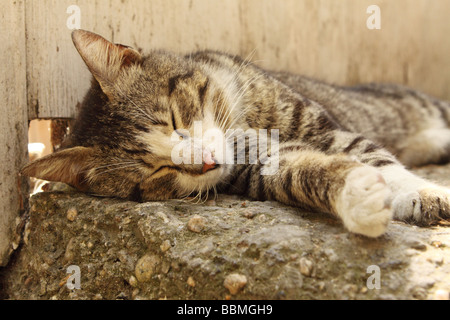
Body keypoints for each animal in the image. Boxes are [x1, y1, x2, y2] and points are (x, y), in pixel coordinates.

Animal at [21, 30, 450, 238]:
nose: (207, 163)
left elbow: (373, 155)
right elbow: (302, 170)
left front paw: (424, 193)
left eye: (175, 120)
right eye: (154, 173)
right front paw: (359, 197)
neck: (241, 125)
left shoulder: (313, 121)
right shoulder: (260, 168)